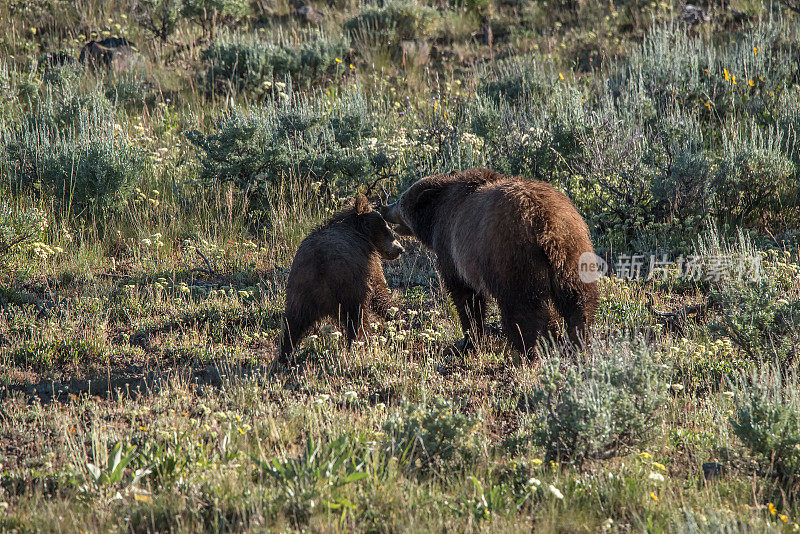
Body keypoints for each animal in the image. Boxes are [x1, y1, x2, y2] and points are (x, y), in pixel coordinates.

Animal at [280, 195, 406, 362]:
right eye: (387, 230)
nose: (400, 249)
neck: (359, 231)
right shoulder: (368, 263)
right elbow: (380, 290)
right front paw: (396, 316)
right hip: (350, 286)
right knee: (358, 318)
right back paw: (359, 343)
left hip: (299, 290)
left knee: (293, 323)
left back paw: (285, 355)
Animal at [382, 170, 600, 356]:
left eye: (401, 200)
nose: (384, 208)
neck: (436, 216)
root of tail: (547, 228)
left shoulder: (451, 248)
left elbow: (466, 297)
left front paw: (469, 341)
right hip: (574, 254)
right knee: (580, 302)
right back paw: (578, 342)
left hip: (512, 259)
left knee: (523, 309)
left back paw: (526, 349)